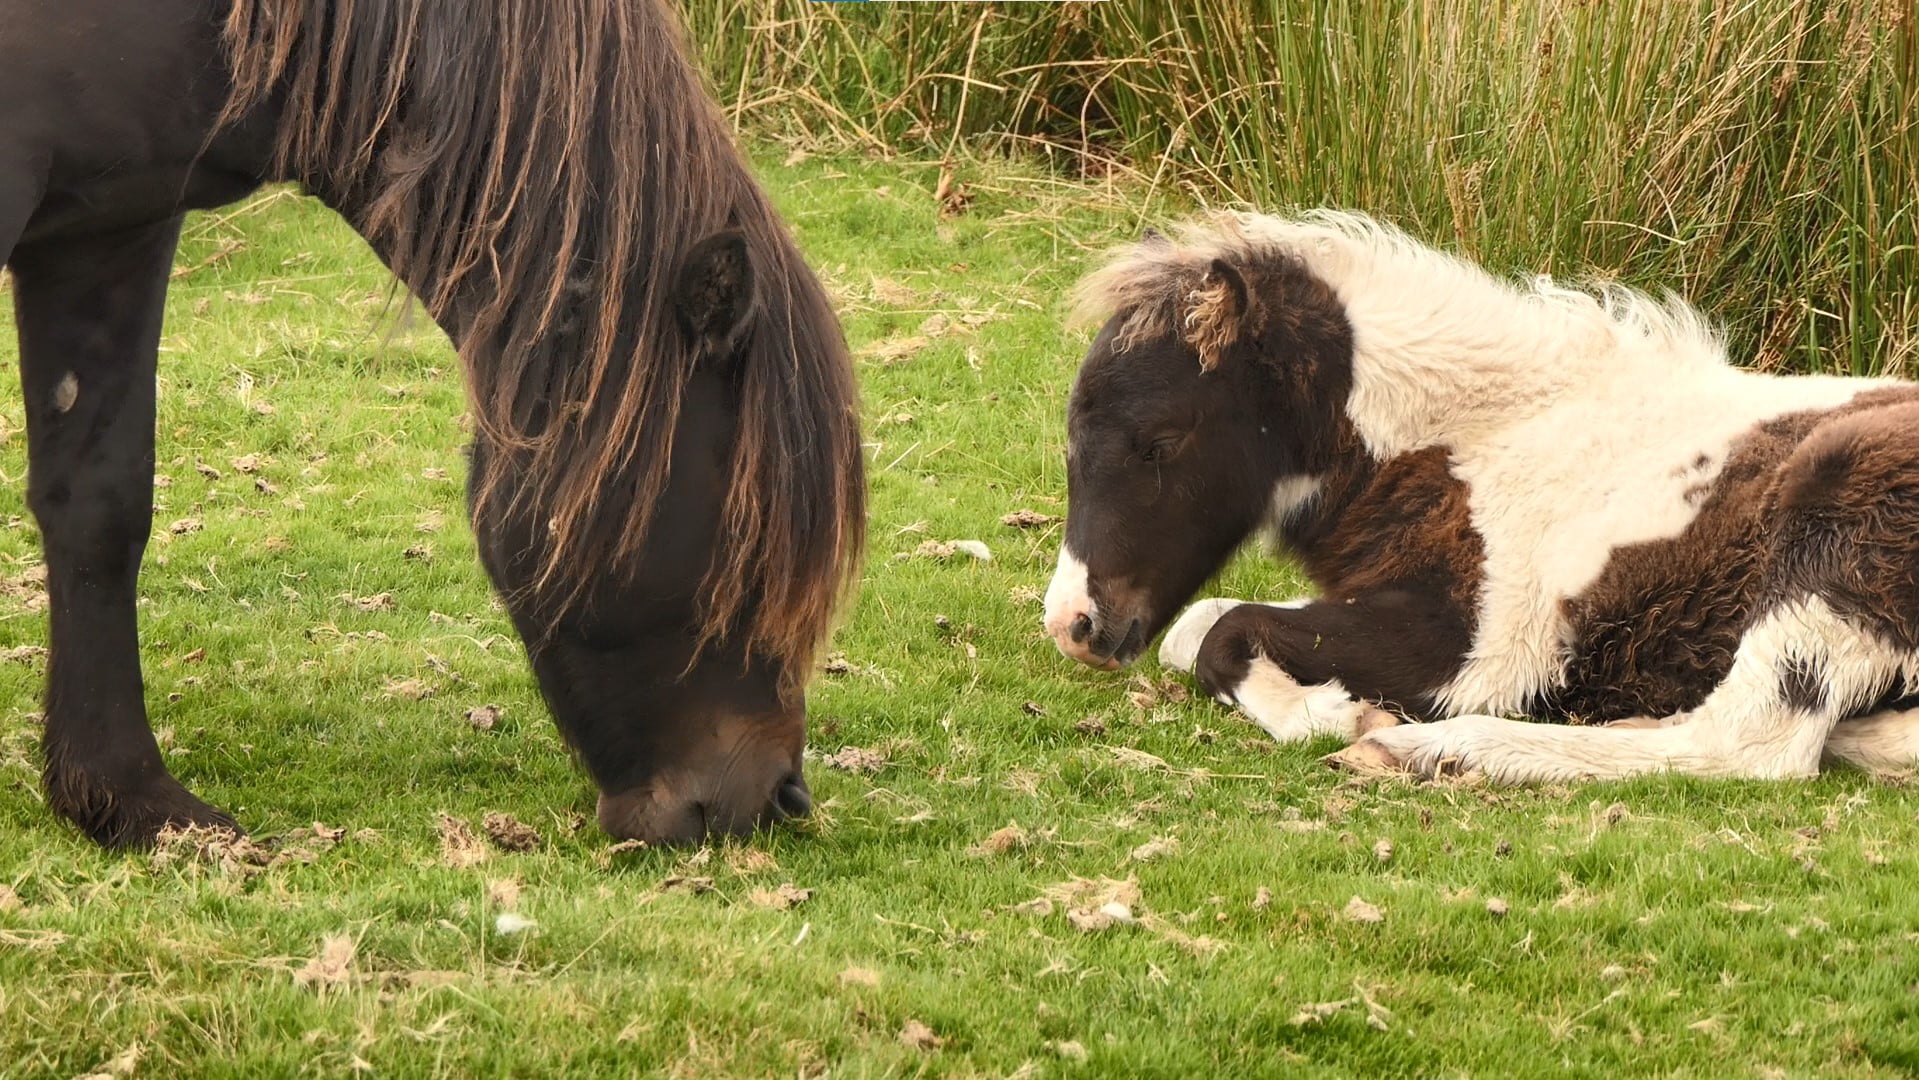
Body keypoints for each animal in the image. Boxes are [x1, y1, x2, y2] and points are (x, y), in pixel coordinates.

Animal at [1043, 213, 1919, 786]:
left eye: (1159, 439)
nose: (1072, 625)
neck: (1490, 433)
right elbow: (1195, 627)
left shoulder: (1479, 645)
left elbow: (1225, 631)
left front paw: (1336, 717)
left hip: (1838, 519)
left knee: (1751, 749)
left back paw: (1430, 750)